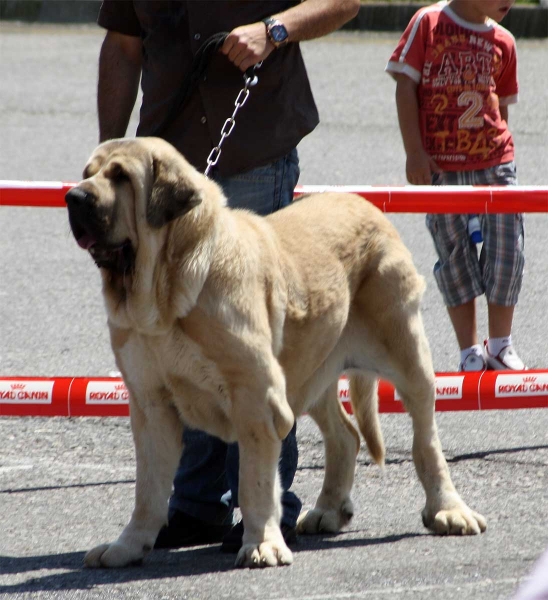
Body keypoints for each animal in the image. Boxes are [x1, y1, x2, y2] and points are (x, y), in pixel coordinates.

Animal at [66, 138, 486, 568]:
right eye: (87, 174)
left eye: (120, 176)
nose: (74, 197)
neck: (170, 289)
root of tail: (366, 205)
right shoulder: (150, 405)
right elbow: (147, 490)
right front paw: (128, 546)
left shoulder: (256, 397)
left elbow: (255, 481)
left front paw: (262, 543)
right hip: (310, 372)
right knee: (346, 436)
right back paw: (328, 510)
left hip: (407, 354)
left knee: (426, 439)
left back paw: (448, 510)